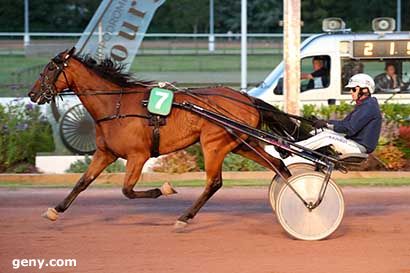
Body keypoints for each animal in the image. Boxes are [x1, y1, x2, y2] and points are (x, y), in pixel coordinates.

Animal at [28, 47, 310, 230]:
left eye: (50, 68)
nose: (32, 94)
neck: (116, 104)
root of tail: (246, 98)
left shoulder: (138, 155)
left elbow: (127, 190)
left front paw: (164, 188)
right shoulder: (106, 153)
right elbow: (82, 183)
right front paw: (54, 210)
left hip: (214, 143)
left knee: (214, 182)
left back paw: (184, 217)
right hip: (242, 143)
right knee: (280, 166)